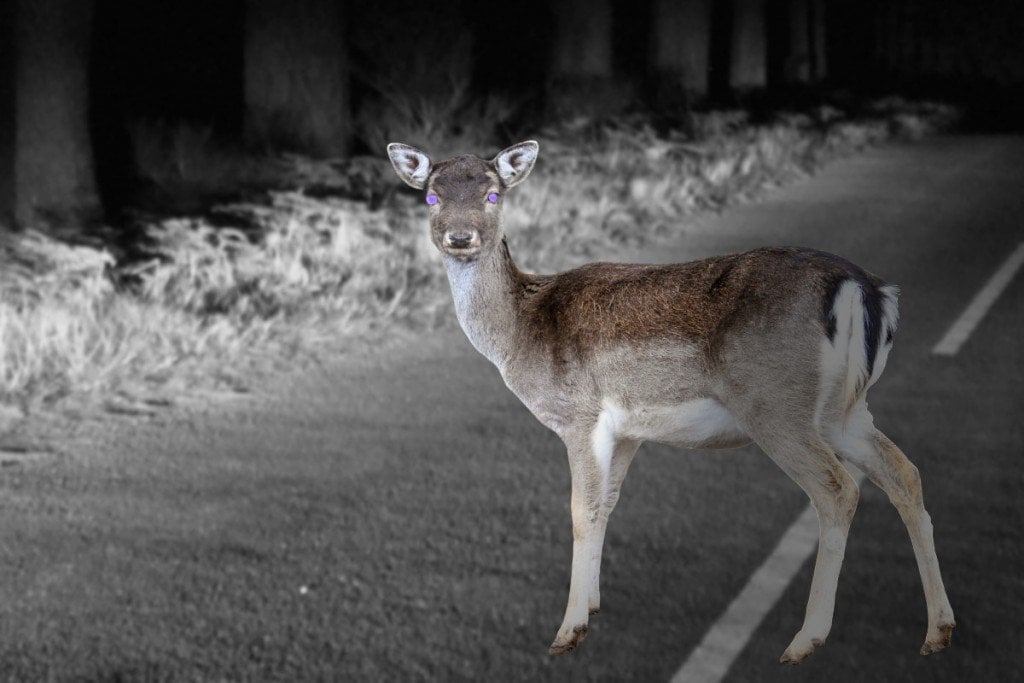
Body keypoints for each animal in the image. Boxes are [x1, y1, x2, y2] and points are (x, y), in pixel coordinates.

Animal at [385, 140, 950, 667]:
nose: (461, 238)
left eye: (493, 194)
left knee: (837, 489)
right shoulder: (627, 431)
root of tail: (867, 291)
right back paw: (938, 630)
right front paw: (592, 606)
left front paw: (568, 632)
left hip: (776, 405)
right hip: (844, 410)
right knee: (904, 472)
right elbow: (608, 503)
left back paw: (805, 640)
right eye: (432, 196)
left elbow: (581, 509)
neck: (522, 335)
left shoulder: (580, 415)